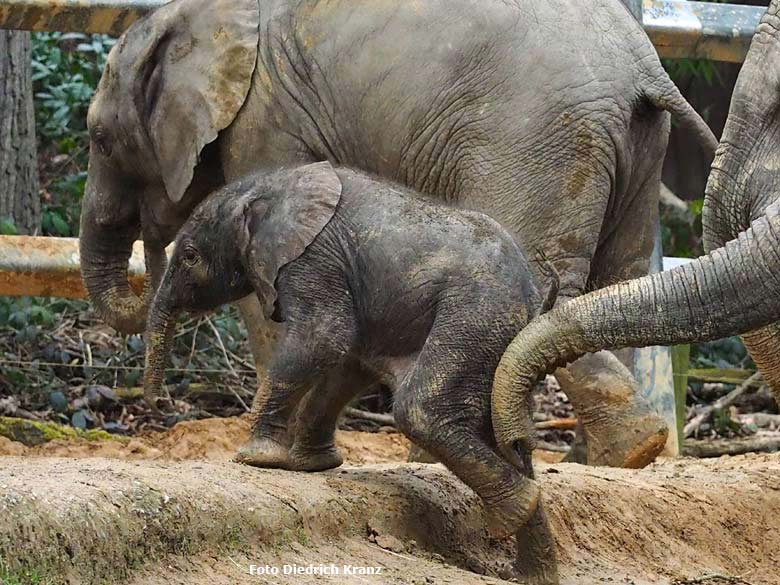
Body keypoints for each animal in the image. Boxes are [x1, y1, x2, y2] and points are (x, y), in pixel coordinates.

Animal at [82, 0, 716, 468]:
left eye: (98, 139)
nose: (150, 408)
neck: (195, 14)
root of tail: (646, 68)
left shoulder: (264, 119)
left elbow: (270, 295)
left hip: (539, 140)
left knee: (539, 279)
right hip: (633, 149)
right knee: (618, 280)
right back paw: (620, 457)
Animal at [146, 162, 556, 580]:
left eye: (190, 256)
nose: (156, 404)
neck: (269, 185)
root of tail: (534, 294)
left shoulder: (314, 258)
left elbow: (325, 336)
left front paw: (256, 459)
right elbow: (349, 361)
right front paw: (312, 465)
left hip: (477, 313)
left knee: (421, 411)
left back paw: (517, 509)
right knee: (503, 435)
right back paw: (532, 571)